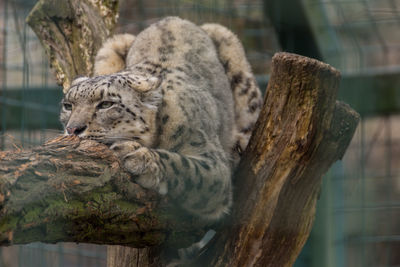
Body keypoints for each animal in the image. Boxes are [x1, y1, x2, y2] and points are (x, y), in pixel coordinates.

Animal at [59, 16, 262, 222]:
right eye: (68, 105)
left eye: (106, 104)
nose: (73, 129)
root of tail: (172, 18)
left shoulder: (212, 161)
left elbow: (186, 167)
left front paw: (137, 157)